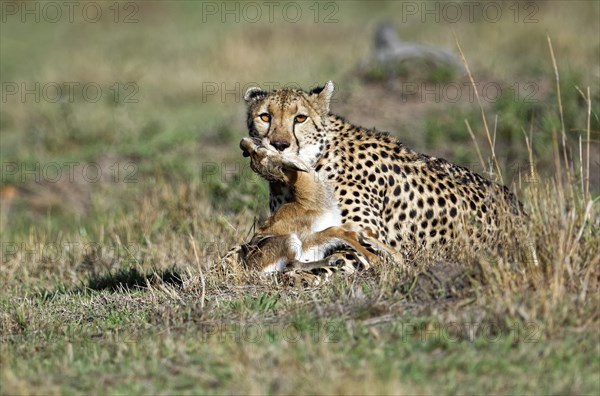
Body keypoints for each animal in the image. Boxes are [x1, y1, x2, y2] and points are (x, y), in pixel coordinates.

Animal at [225, 135, 394, 274]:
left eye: (257, 152)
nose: (243, 143)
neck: (309, 200)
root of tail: (250, 264)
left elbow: (358, 230)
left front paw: (396, 257)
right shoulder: (310, 236)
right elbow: (341, 231)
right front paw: (376, 259)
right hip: (291, 240)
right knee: (292, 265)